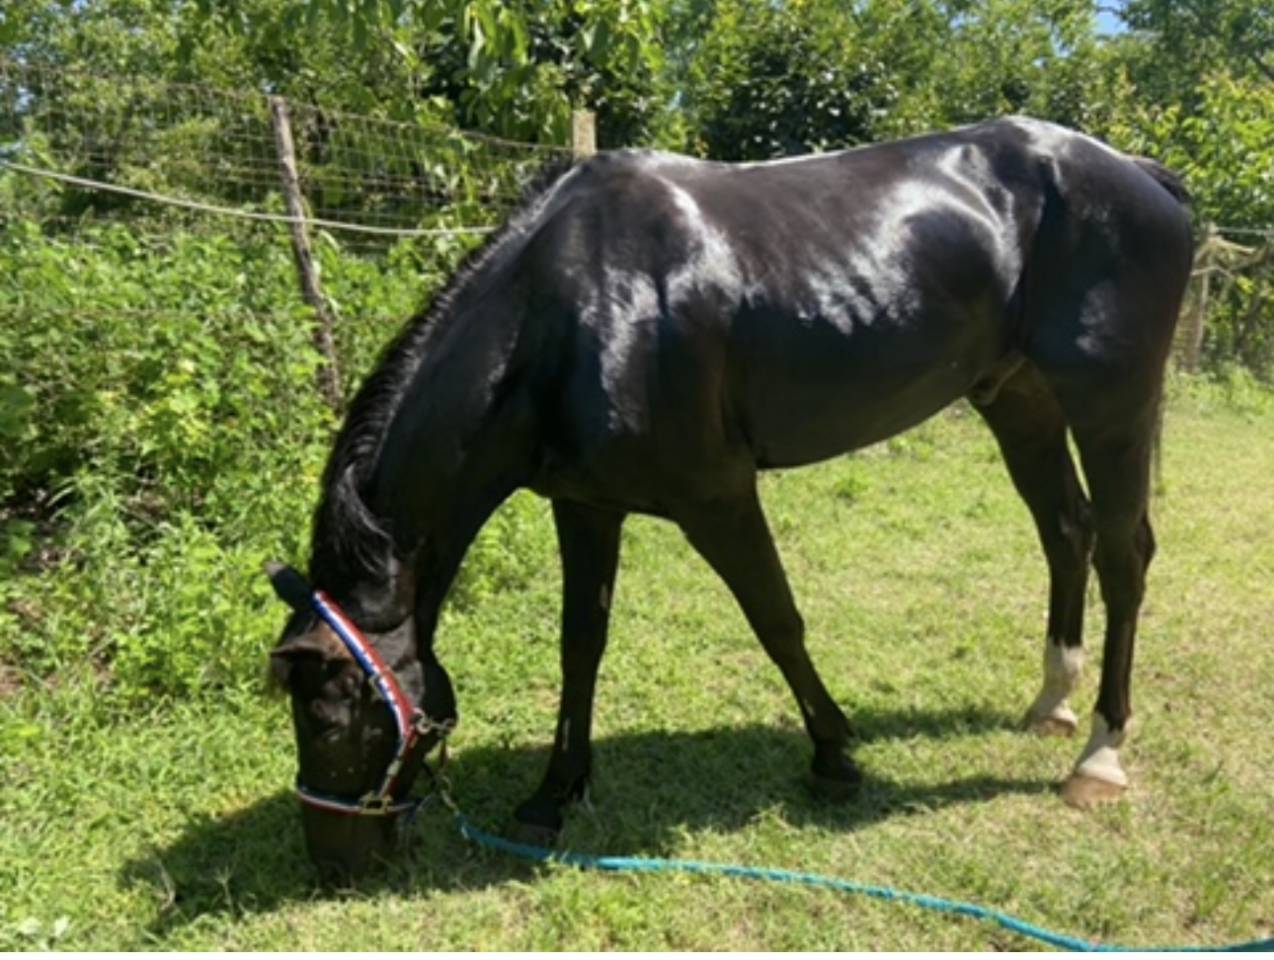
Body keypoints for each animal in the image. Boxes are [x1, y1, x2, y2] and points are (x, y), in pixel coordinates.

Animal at [264, 116, 1192, 879]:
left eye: (329, 718)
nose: (336, 864)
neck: (568, 312)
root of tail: (1141, 173)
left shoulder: (717, 496)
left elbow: (776, 620)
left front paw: (835, 757)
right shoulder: (585, 506)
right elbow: (581, 645)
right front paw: (553, 796)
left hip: (1110, 401)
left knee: (1124, 552)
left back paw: (1100, 753)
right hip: (1019, 398)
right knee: (1065, 532)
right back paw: (1051, 705)